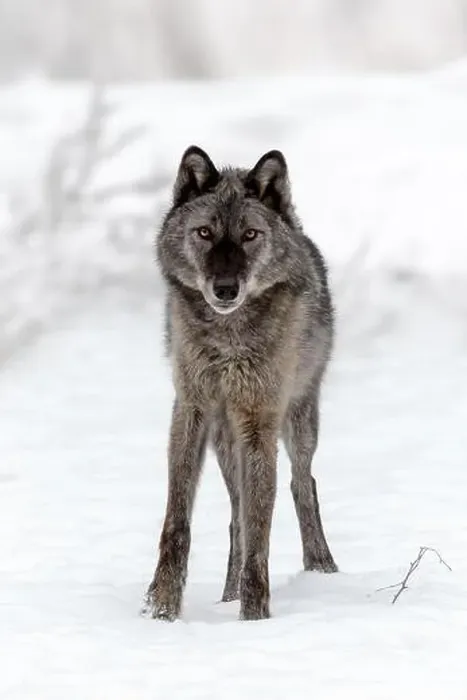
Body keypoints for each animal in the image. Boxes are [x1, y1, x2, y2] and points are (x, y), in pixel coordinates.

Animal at [143, 145, 337, 622]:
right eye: (205, 232)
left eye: (250, 234)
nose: (226, 289)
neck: (228, 339)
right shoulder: (191, 409)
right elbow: (178, 522)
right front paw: (162, 608)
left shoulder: (258, 421)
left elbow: (260, 529)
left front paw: (255, 618)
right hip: (223, 440)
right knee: (235, 513)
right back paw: (227, 595)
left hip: (298, 420)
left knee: (301, 484)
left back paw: (321, 568)